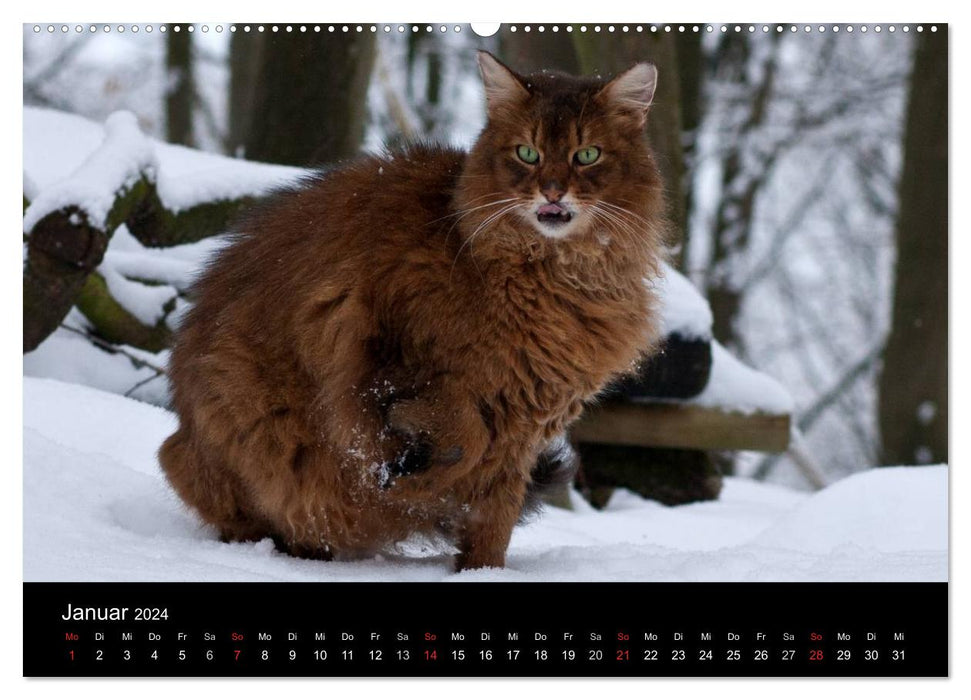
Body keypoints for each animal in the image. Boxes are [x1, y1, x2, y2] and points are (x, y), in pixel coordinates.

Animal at [163, 53, 672, 568]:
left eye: (587, 155)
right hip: (239, 412)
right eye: (527, 154)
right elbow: (462, 442)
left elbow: (493, 515)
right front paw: (409, 476)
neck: (558, 275)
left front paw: (481, 573)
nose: (552, 192)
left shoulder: (522, 429)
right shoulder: (392, 354)